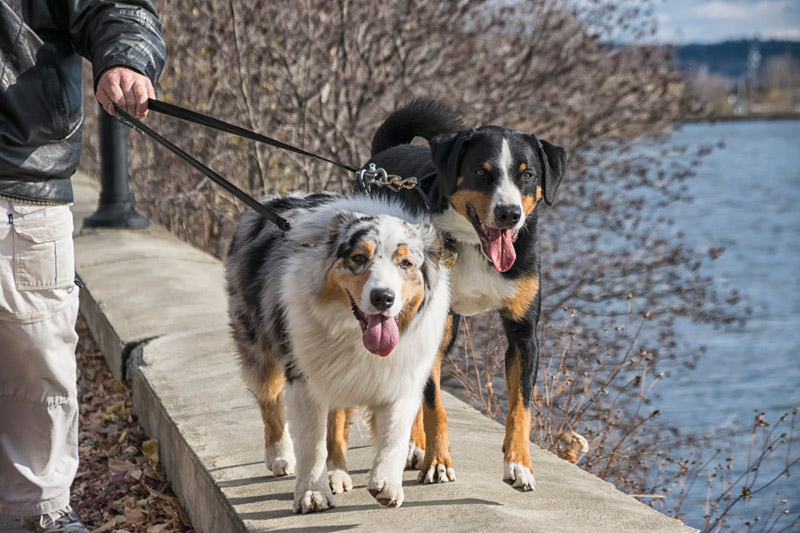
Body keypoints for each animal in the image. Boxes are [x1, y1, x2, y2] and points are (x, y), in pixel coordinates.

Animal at [328, 98, 564, 490]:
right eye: (481, 172)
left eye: (527, 175)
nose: (509, 213)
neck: (472, 244)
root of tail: (383, 157)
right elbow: (434, 406)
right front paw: (437, 462)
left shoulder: (524, 333)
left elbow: (521, 408)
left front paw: (519, 463)